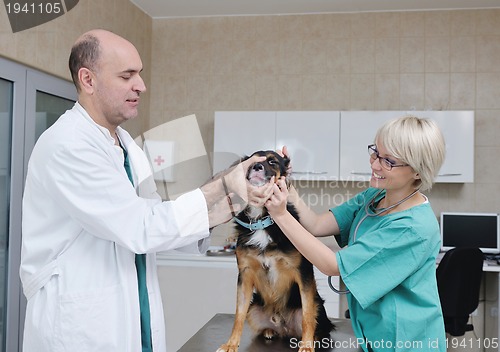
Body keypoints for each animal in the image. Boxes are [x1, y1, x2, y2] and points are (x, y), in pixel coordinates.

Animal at [217, 151, 334, 352]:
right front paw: (231, 344)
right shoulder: (244, 274)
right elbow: (238, 314)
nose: (257, 167)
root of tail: (284, 325)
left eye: (272, 161)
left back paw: (316, 338)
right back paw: (270, 331)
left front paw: (307, 345)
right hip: (254, 308)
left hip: (318, 303)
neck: (262, 219)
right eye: (253, 161)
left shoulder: (303, 273)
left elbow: (307, 316)